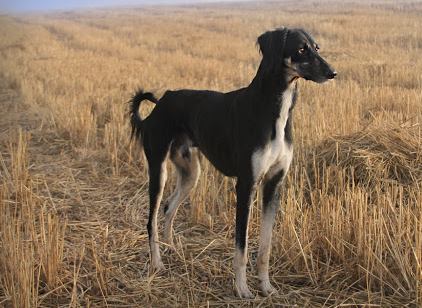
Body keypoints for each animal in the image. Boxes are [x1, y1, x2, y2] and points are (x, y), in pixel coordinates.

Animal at [129, 27, 336, 298]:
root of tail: (162, 101)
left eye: (317, 47)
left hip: (191, 172)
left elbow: (266, 246)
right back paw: (157, 263)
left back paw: (171, 248)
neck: (271, 109)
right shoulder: (246, 184)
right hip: (158, 169)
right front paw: (242, 289)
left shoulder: (274, 183)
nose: (333, 73)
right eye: (301, 49)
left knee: (169, 207)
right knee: (151, 219)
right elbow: (242, 245)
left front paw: (266, 286)